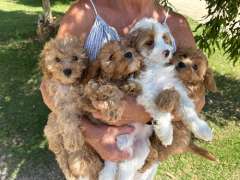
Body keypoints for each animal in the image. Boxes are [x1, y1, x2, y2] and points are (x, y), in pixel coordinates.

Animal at [40, 37, 102, 180]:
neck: (68, 86)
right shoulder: (60, 103)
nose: (67, 71)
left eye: (75, 57)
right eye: (57, 59)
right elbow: (67, 118)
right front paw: (73, 139)